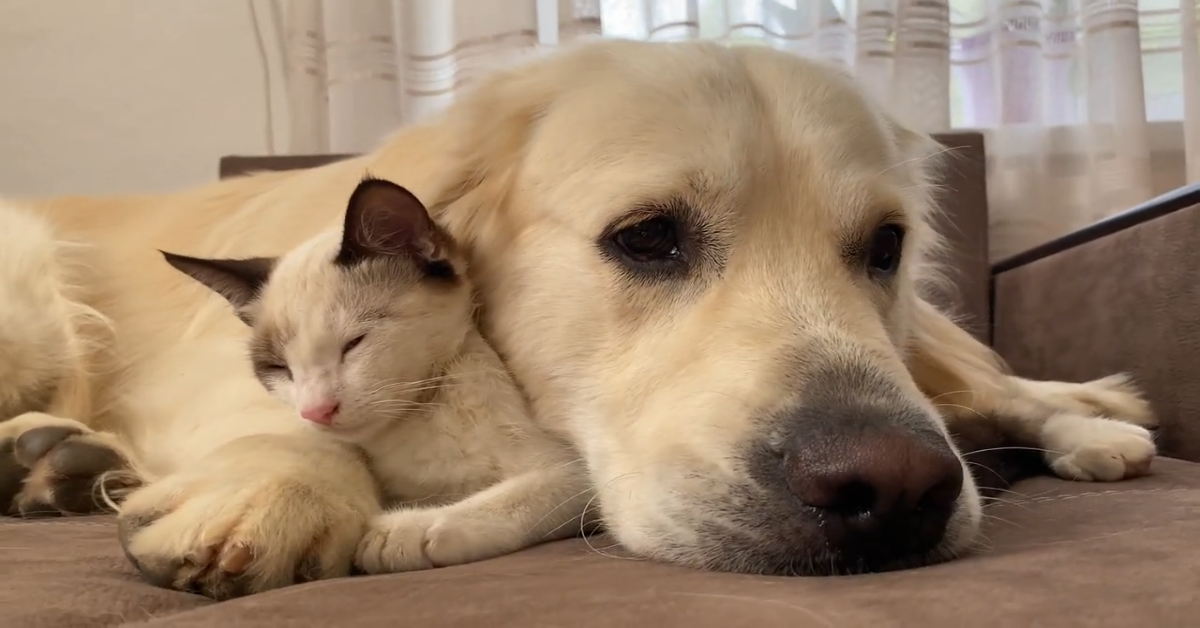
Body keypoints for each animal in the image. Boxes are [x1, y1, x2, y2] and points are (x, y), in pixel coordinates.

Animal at [164, 175, 595, 573]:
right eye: (279, 369)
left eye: (354, 343)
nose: (316, 411)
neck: (418, 422)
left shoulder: (577, 472)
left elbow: (528, 493)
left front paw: (407, 530)